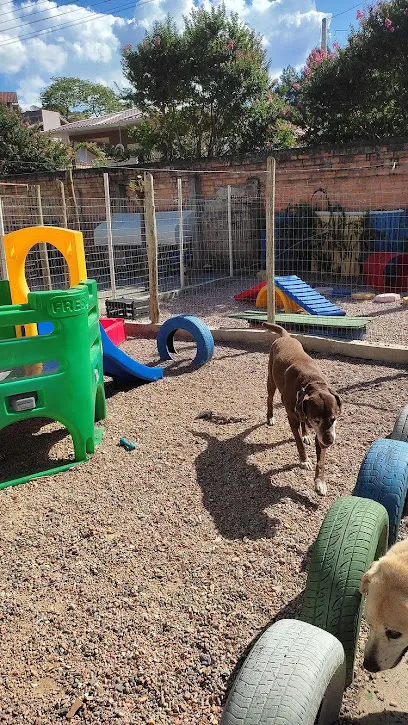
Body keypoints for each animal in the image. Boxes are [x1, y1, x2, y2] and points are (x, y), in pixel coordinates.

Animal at [264, 326, 342, 494]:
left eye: (334, 419)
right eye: (316, 420)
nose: (329, 441)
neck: (311, 384)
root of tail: (286, 337)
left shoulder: (321, 433)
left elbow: (321, 460)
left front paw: (320, 482)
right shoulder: (292, 419)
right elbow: (298, 441)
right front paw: (304, 460)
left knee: (303, 422)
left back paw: (306, 433)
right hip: (271, 380)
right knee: (269, 398)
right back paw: (270, 417)